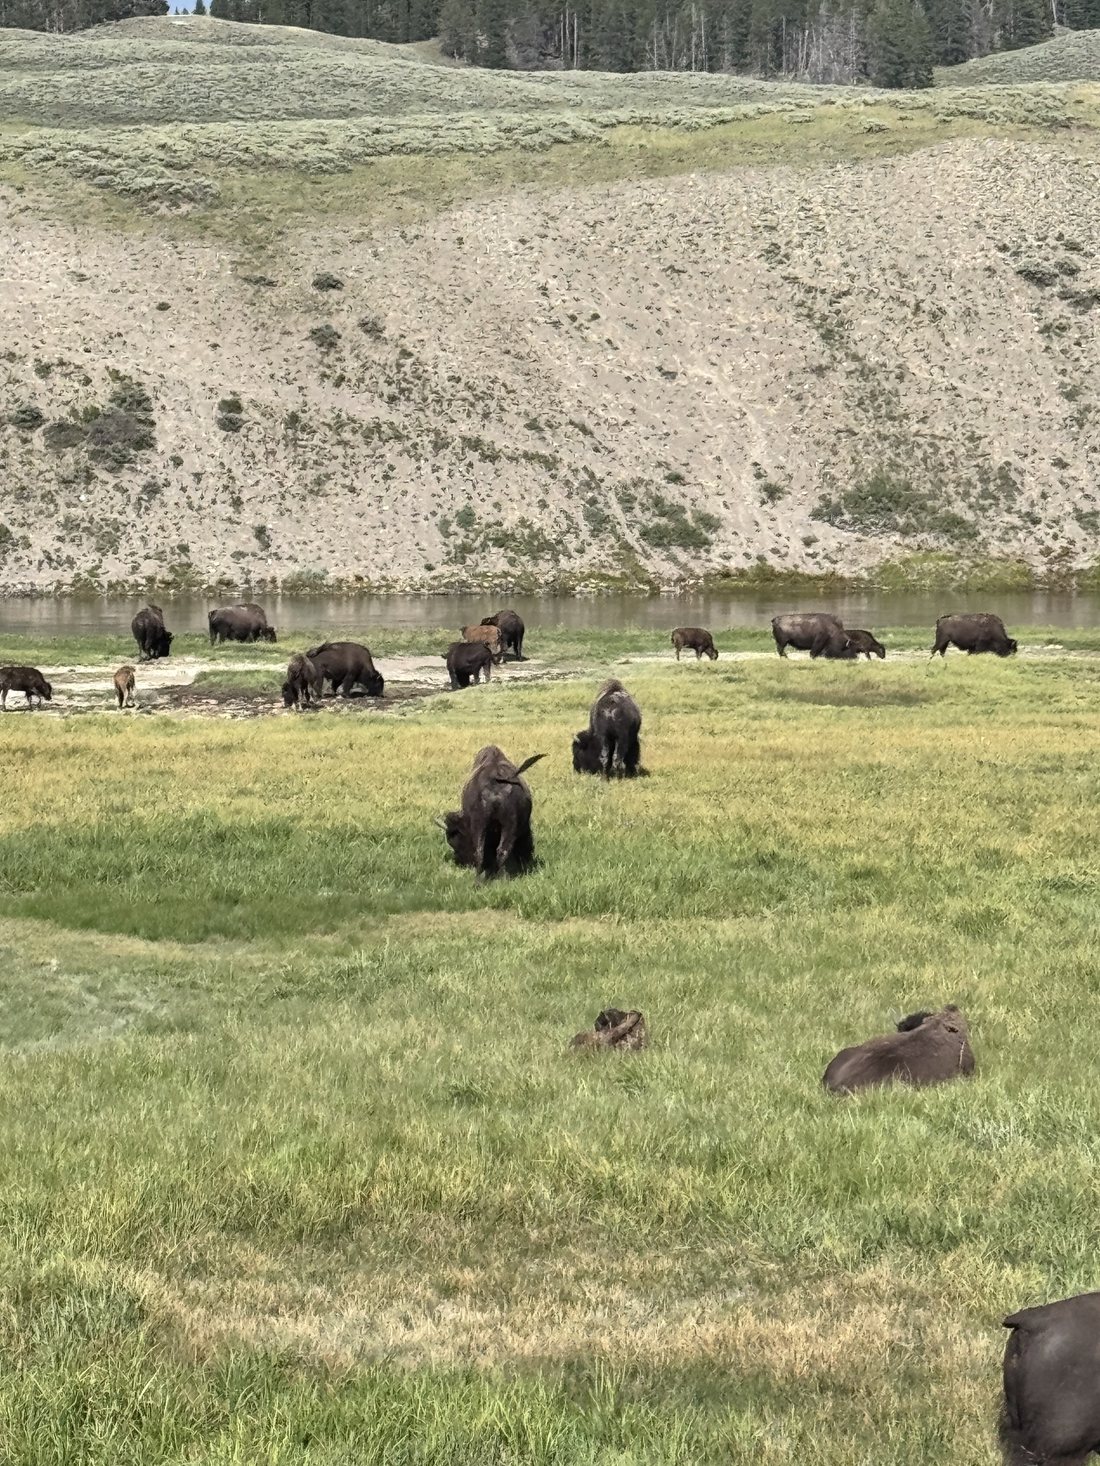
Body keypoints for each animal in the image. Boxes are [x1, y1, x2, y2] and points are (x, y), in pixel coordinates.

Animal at [437, 745, 545, 879]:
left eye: (453, 839)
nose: (460, 861)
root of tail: (496, 779)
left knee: (481, 851)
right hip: (508, 825)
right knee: (500, 850)